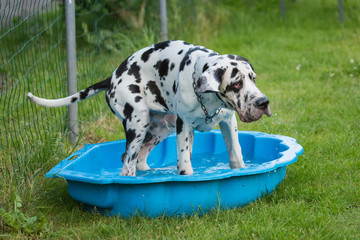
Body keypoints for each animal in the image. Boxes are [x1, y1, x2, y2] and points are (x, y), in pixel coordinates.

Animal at [27, 40, 270, 176]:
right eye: (236, 83)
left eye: (253, 78)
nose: (263, 102)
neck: (209, 100)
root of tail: (112, 77)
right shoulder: (184, 129)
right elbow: (185, 167)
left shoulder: (229, 122)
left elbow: (237, 157)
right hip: (138, 122)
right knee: (128, 165)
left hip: (160, 128)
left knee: (137, 158)